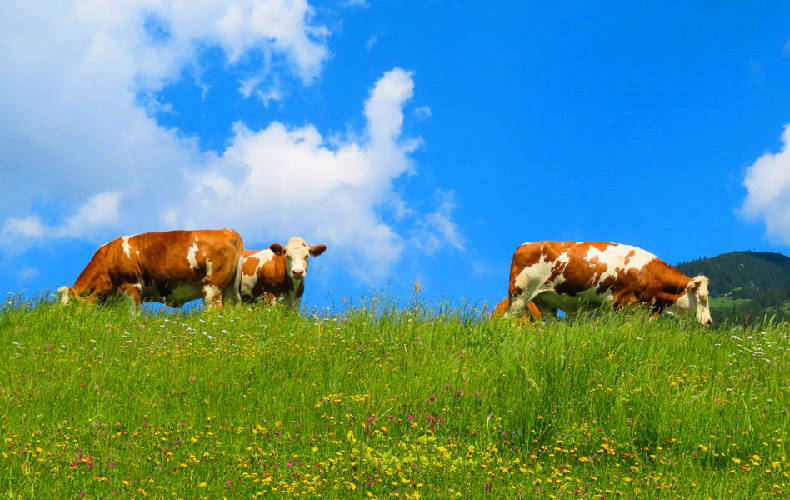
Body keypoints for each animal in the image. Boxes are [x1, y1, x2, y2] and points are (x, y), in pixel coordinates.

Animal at [504, 241, 716, 326]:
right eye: (702, 297)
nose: (709, 321)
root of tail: (524, 245)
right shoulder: (622, 305)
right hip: (518, 296)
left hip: (546, 303)